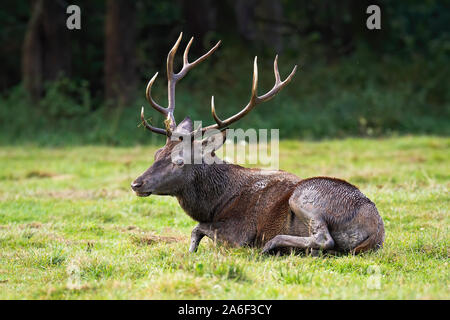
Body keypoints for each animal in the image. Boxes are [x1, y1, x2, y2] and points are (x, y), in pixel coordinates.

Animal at [132, 33, 384, 255]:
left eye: (179, 161)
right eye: (156, 153)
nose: (136, 183)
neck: (214, 205)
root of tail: (376, 231)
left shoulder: (239, 232)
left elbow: (197, 229)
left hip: (306, 195)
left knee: (324, 239)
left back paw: (271, 245)